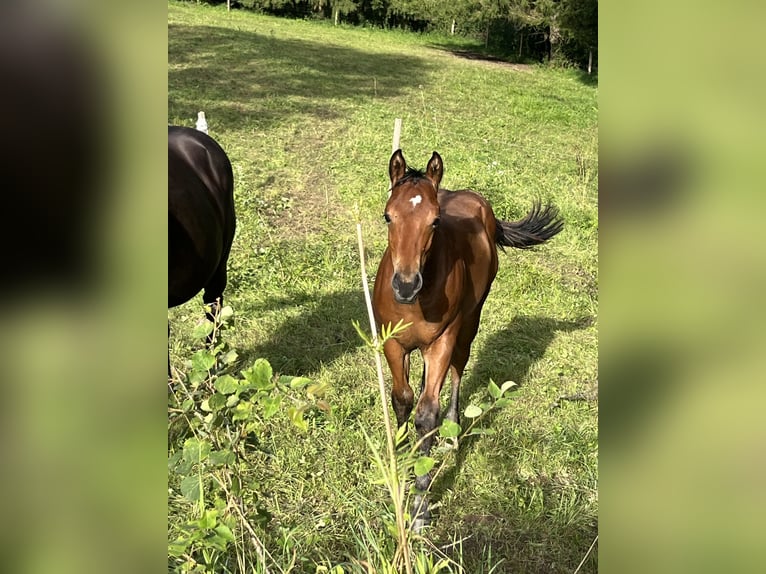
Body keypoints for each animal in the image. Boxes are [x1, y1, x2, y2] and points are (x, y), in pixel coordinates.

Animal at [372, 148, 564, 532]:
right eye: (388, 216)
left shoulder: (442, 341)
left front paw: (419, 507)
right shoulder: (392, 344)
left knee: (459, 367)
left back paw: (452, 431)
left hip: (470, 319)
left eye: (434, 221)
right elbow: (402, 400)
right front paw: (399, 462)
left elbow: (426, 414)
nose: (405, 285)